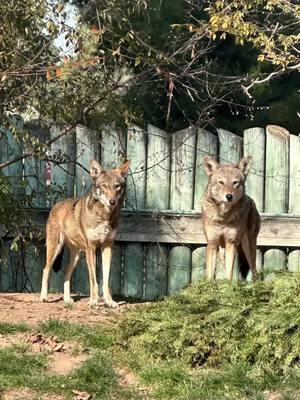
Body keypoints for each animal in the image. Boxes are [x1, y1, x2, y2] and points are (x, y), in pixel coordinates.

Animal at [39, 159, 130, 306]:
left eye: (117, 187)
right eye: (104, 186)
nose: (112, 201)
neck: (104, 216)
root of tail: (54, 206)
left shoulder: (107, 247)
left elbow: (105, 281)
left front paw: (109, 301)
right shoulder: (91, 248)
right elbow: (93, 280)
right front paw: (93, 301)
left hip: (76, 256)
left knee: (66, 273)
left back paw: (67, 299)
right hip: (55, 250)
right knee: (46, 270)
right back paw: (44, 297)